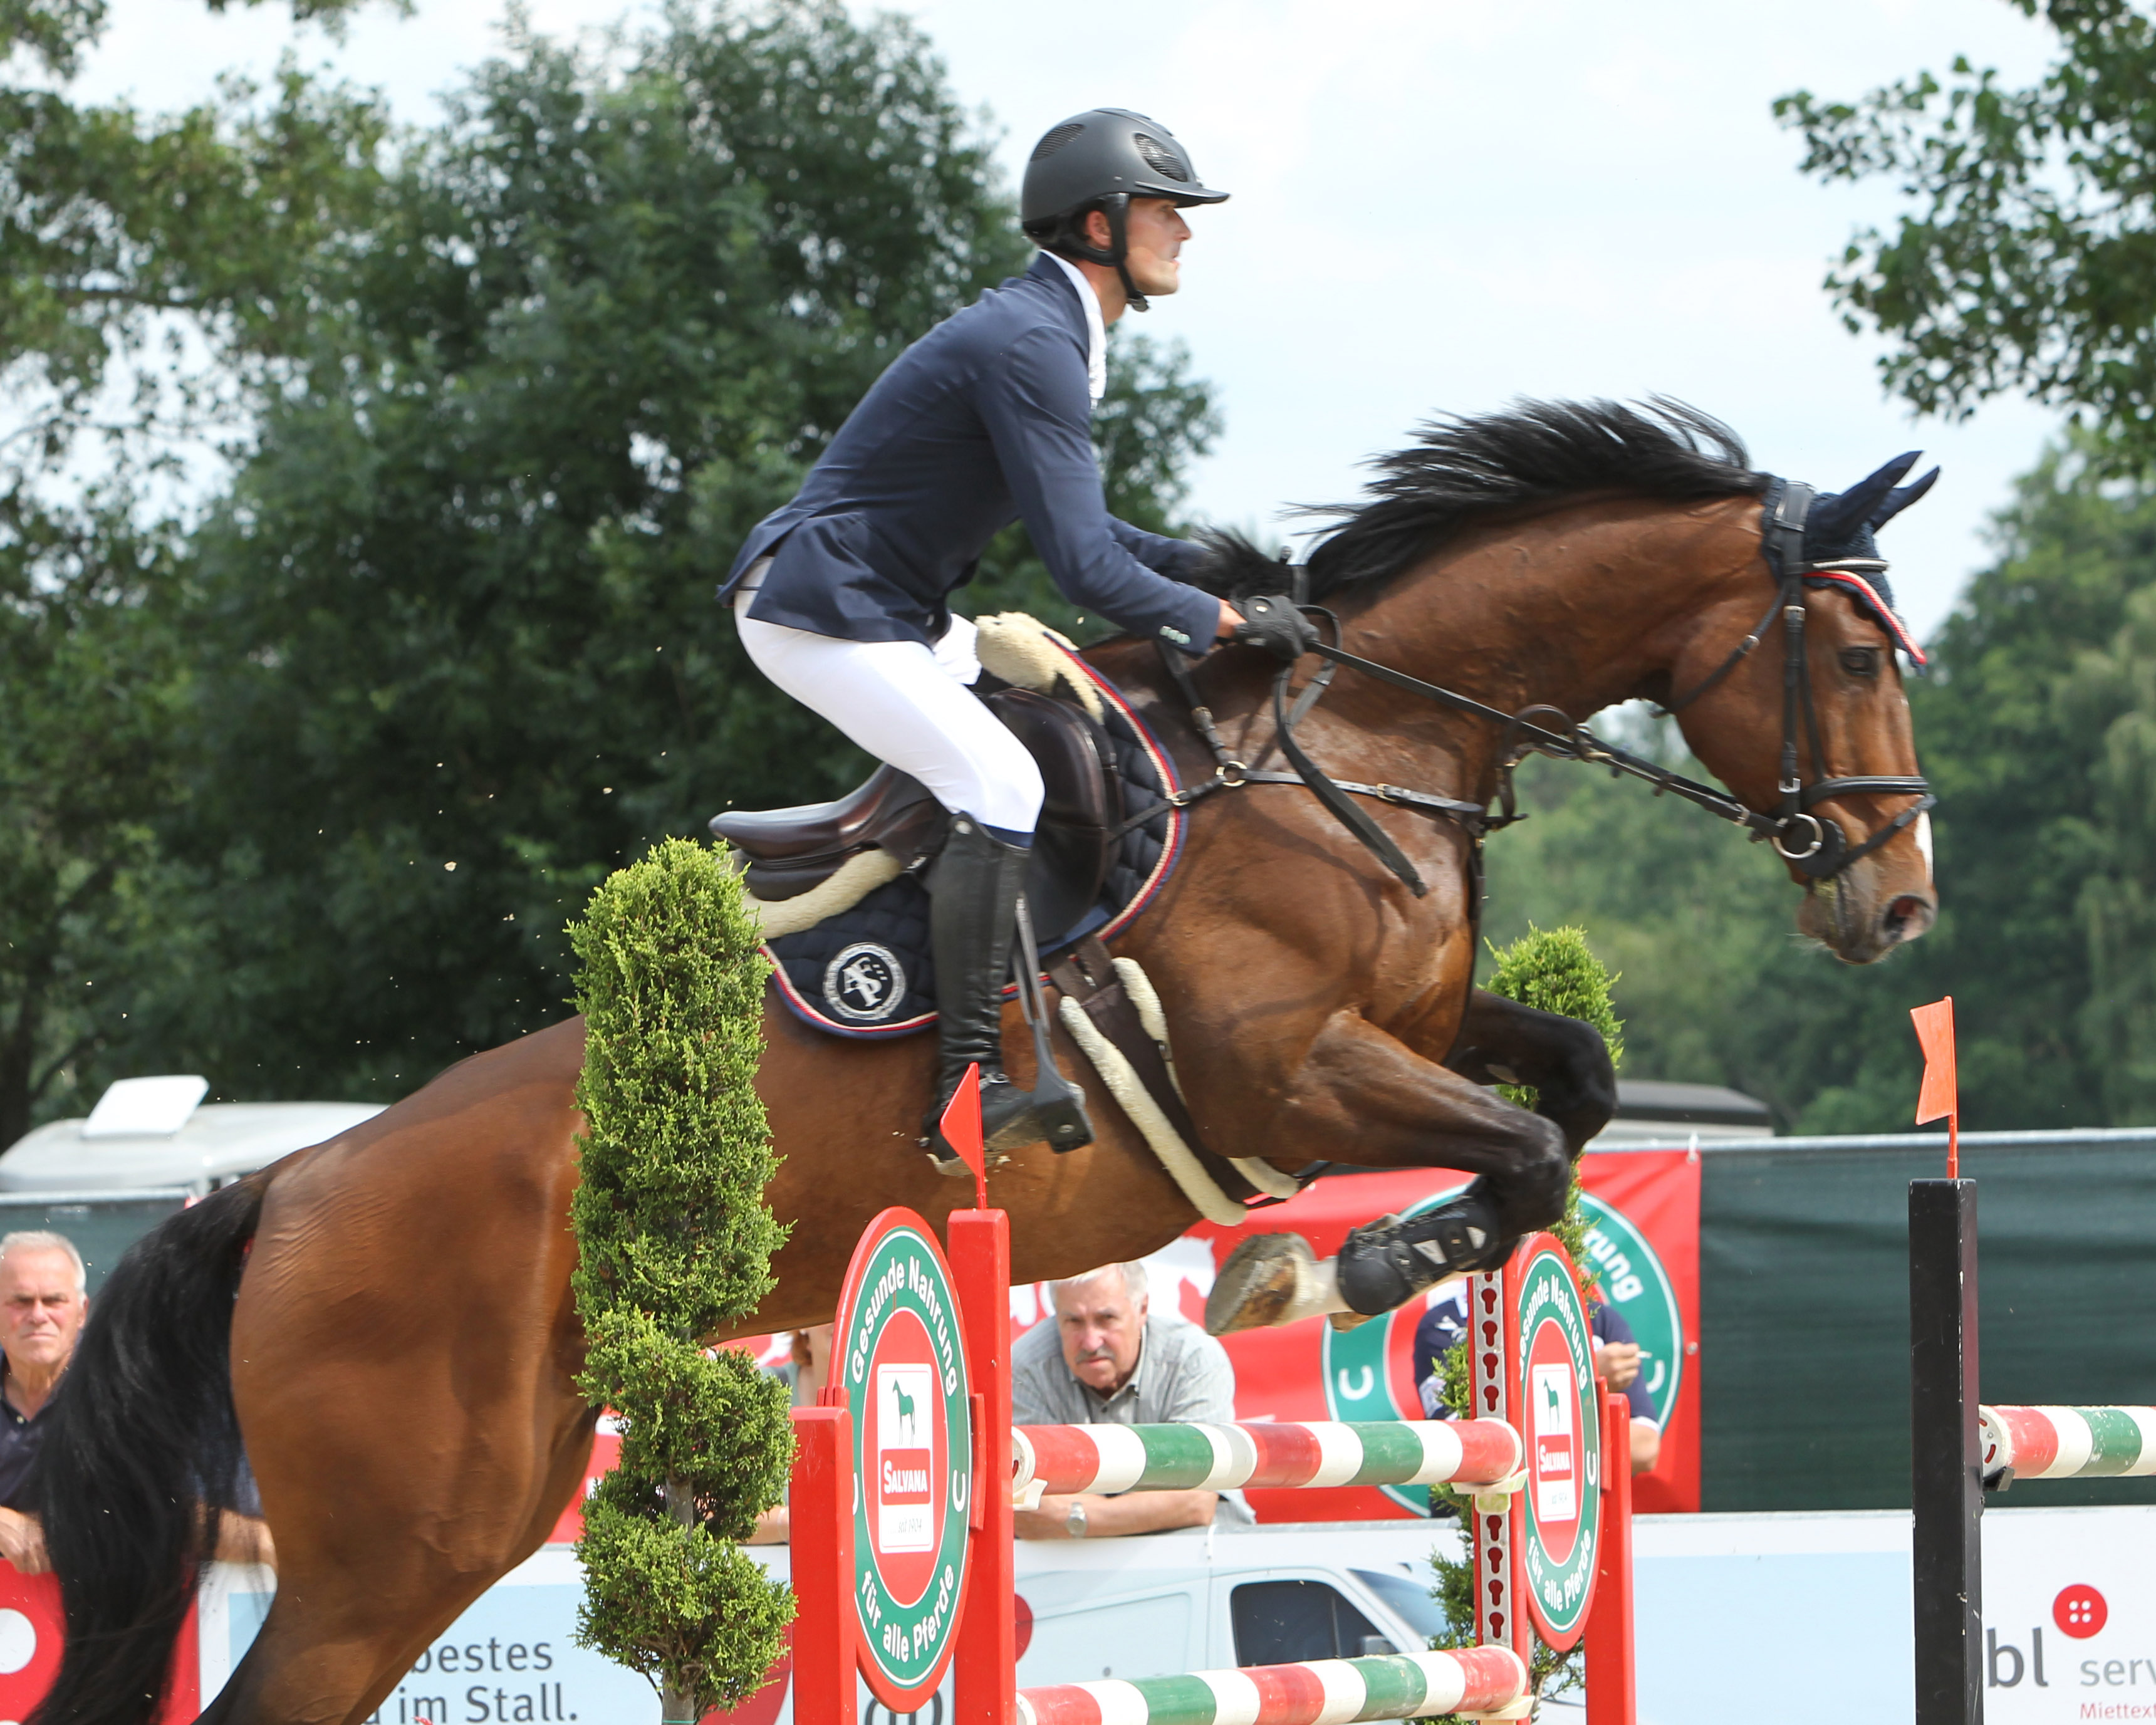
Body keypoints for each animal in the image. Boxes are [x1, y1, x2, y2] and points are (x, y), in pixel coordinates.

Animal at [25, 394, 1940, 1725]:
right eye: (1853, 652)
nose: (1896, 902)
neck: (1363, 743)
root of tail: (280, 1187)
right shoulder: (1283, 1069)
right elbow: (1527, 1149)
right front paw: (1351, 1269)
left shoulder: (1411, 1034)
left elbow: (1574, 1088)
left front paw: (1377, 1267)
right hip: (392, 1535)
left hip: (472, 1515)